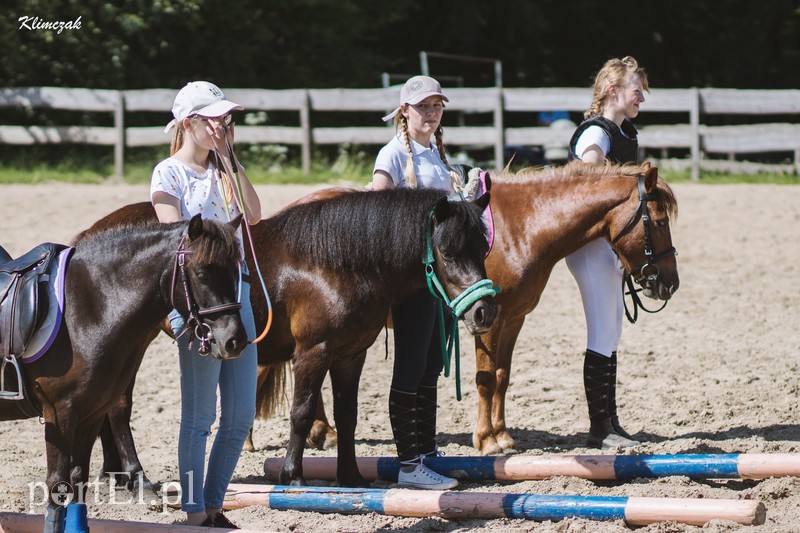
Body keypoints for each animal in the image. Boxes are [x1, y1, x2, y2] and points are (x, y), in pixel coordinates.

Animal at [0, 215, 247, 532]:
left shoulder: (90, 414)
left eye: (236, 272)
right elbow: (57, 486)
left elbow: (78, 481)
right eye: (202, 274)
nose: (235, 340)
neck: (86, 309)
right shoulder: (59, 412)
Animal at [84, 188, 497, 487]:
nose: (484, 312)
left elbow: (348, 416)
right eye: (447, 251)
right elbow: (300, 412)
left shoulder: (351, 355)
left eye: (484, 247)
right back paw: (136, 476)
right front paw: (293, 476)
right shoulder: (313, 352)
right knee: (118, 407)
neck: (336, 262)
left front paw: (350, 477)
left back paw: (115, 475)